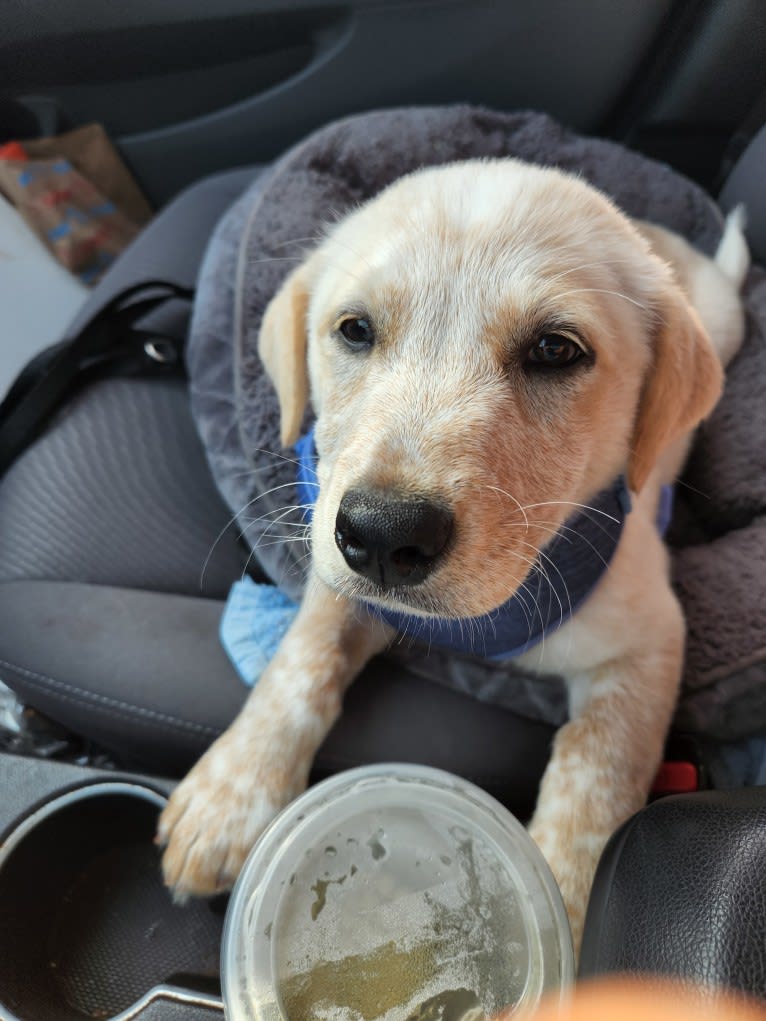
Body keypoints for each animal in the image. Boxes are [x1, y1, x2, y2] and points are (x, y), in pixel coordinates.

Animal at [157, 157, 751, 947]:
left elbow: (599, 768)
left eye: (556, 350)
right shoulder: (339, 577)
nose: (383, 533)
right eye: (354, 330)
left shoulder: (648, 641)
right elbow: (299, 661)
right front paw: (229, 797)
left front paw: (562, 915)